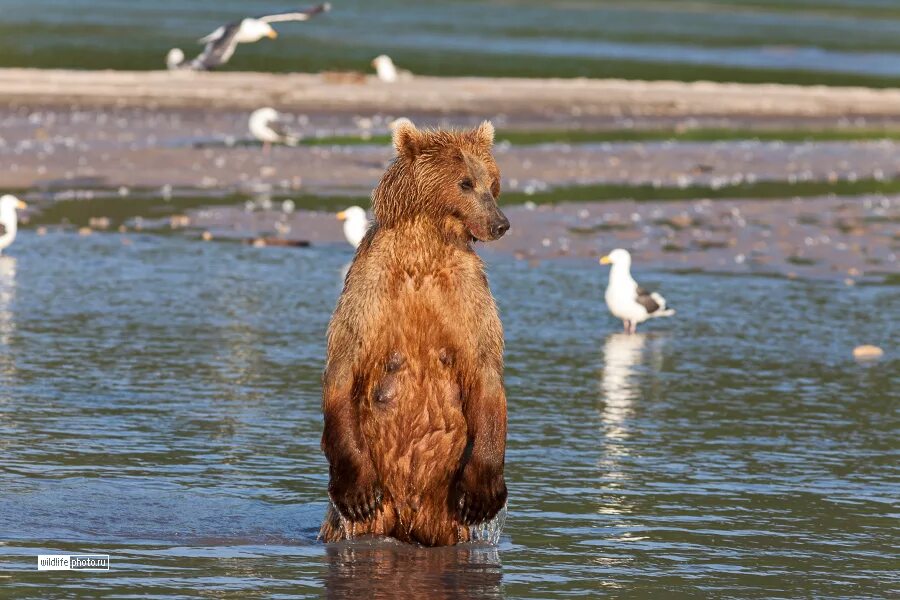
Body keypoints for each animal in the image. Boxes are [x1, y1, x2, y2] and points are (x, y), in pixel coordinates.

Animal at [320, 119, 510, 548]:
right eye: (465, 182)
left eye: (492, 182)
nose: (501, 223)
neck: (425, 246)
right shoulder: (370, 290)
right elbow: (344, 364)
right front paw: (356, 493)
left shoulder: (468, 296)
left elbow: (485, 370)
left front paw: (484, 495)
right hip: (377, 509)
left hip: (446, 510)